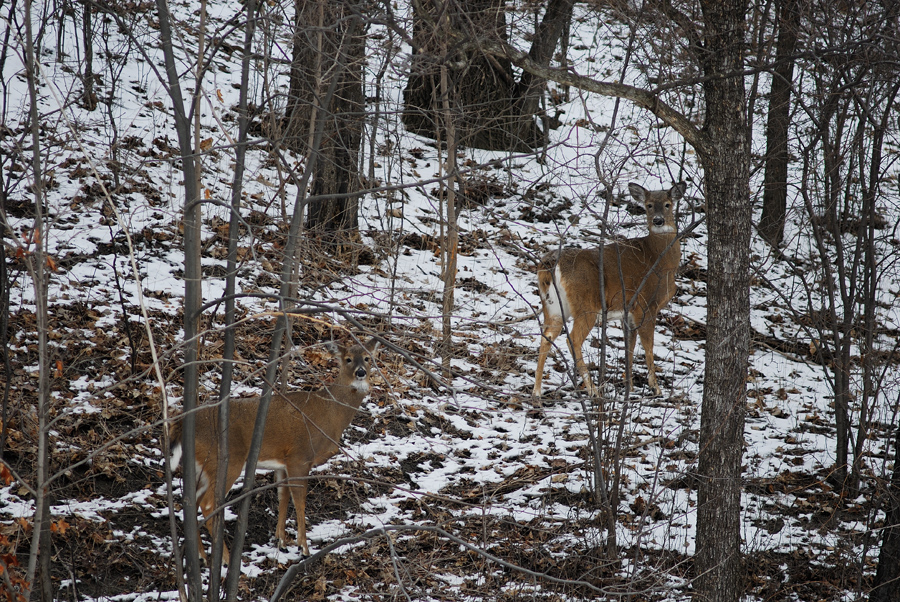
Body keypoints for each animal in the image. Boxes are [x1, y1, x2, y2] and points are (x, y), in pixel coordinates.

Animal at [169, 337, 379, 562]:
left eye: (368, 357)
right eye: (348, 358)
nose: (360, 372)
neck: (330, 413)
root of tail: (182, 425)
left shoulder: (283, 462)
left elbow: (283, 495)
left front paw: (281, 541)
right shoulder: (300, 456)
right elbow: (299, 500)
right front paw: (303, 547)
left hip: (202, 466)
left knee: (191, 503)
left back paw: (200, 555)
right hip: (225, 460)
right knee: (208, 505)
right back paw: (225, 558)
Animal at [533, 182, 686, 399]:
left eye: (667, 204)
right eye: (648, 205)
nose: (658, 220)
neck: (660, 259)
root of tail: (552, 264)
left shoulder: (627, 312)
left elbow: (630, 347)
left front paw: (630, 386)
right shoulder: (646, 304)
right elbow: (647, 346)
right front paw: (655, 387)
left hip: (552, 307)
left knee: (545, 337)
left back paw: (537, 391)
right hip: (586, 304)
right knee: (574, 339)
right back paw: (592, 389)